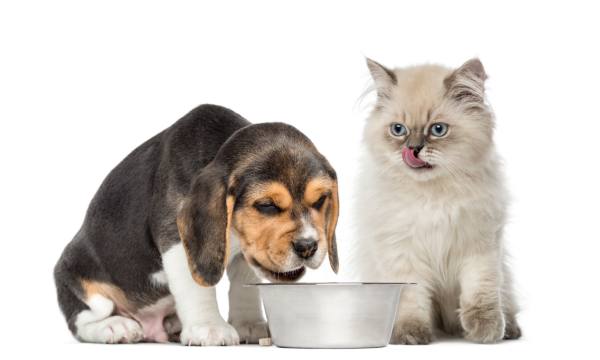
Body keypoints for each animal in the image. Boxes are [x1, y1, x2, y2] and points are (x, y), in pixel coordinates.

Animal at [52, 104, 338, 346]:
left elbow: (243, 284)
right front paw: (209, 328)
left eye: (320, 200)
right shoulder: (176, 239)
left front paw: (248, 324)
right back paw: (115, 327)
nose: (308, 246)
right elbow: (197, 286)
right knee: (83, 320)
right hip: (79, 279)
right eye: (267, 205)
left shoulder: (247, 248)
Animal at [352, 58, 520, 344]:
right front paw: (410, 335)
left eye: (438, 130)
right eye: (398, 130)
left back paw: (508, 330)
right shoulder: (403, 253)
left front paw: (485, 331)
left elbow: (480, 293)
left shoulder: (479, 246)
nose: (413, 149)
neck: (433, 196)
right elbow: (411, 299)